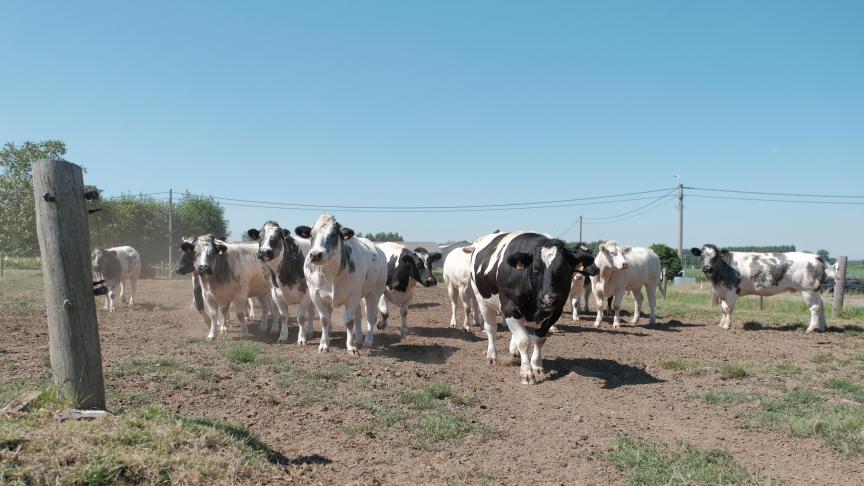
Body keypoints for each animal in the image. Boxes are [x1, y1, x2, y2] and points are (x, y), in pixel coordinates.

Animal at [300, 215, 388, 356]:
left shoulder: (352, 295)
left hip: (374, 293)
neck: (330, 274)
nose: (315, 255)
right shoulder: (316, 294)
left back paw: (368, 340)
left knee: (371, 317)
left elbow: (348, 321)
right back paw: (358, 338)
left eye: (333, 235)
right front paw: (324, 344)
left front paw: (351, 347)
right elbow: (325, 320)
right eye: (311, 235)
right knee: (358, 314)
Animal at [470, 231, 596, 384]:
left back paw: (514, 352)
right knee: (491, 329)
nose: (548, 300)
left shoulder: (555, 312)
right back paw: (491, 356)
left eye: (564, 272)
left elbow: (540, 339)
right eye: (536, 271)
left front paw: (536, 366)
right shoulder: (510, 308)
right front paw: (527, 373)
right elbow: (523, 341)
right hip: (482, 300)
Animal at [688, 245, 832, 332]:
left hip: (807, 290)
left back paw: (810, 328)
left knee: (815, 307)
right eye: (701, 256)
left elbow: (728, 309)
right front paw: (722, 324)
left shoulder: (731, 291)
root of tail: (814, 256)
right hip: (814, 291)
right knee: (821, 304)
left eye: (715, 256)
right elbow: (723, 309)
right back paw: (822, 327)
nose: (707, 268)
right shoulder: (722, 292)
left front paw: (727, 325)